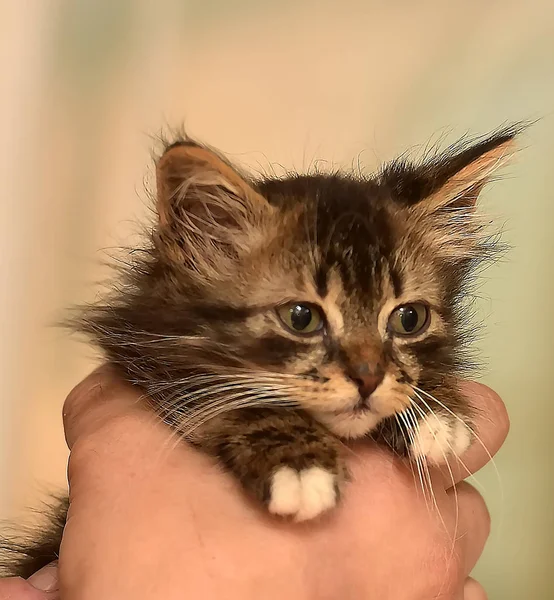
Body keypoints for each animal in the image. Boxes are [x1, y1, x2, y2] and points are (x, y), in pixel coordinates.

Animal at [1, 125, 516, 576]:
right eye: (301, 318)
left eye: (409, 319)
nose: (368, 377)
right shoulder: (153, 361)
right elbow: (229, 400)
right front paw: (299, 465)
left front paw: (437, 415)